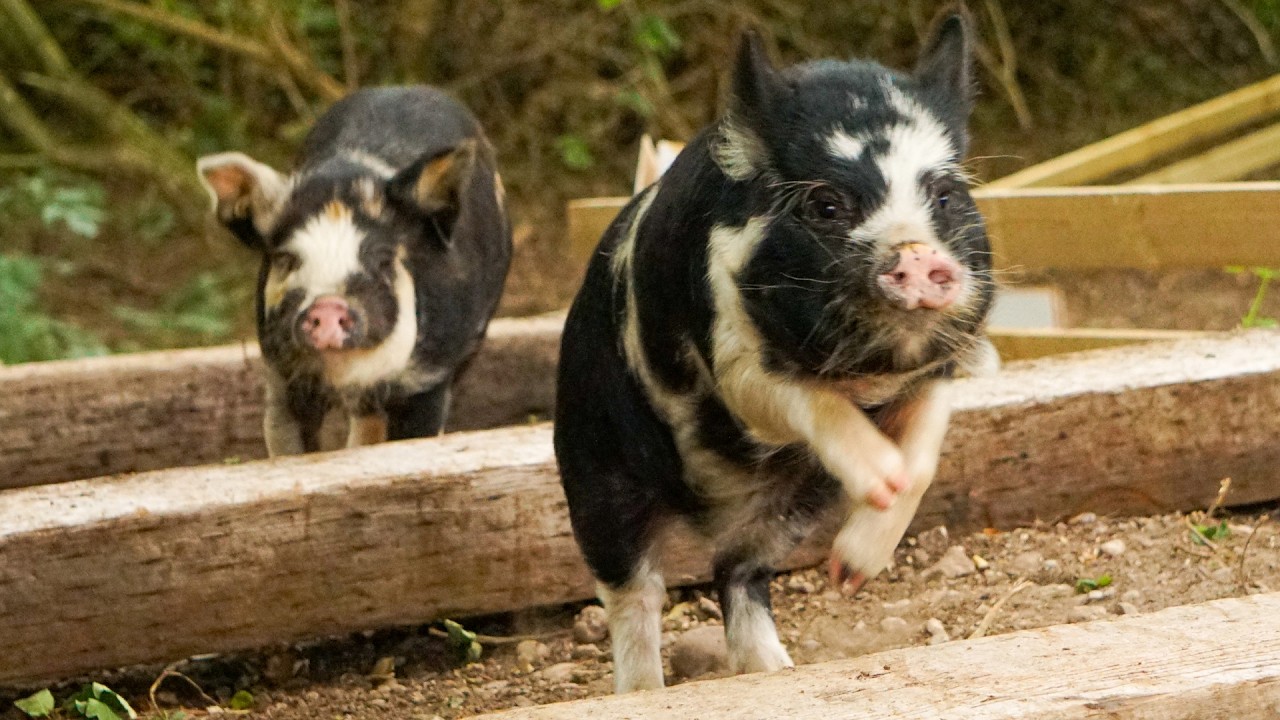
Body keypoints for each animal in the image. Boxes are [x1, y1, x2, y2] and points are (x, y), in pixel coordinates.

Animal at [554, 13, 996, 693]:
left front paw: (856, 563)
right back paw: (643, 691)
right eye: (826, 204)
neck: (866, 375)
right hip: (595, 475)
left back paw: (775, 668)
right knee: (635, 595)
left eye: (944, 196)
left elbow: (924, 454)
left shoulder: (939, 370)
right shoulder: (731, 359)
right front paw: (881, 475)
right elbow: (807, 399)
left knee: (737, 574)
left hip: (787, 512)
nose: (918, 255)